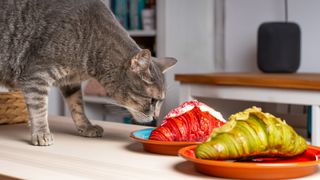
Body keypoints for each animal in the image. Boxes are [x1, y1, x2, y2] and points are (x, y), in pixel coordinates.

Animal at [0, 0, 178, 146]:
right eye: (152, 100)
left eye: (161, 101)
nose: (156, 118)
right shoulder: (37, 75)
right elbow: (39, 107)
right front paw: (41, 133)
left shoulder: (70, 82)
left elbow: (77, 106)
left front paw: (86, 127)